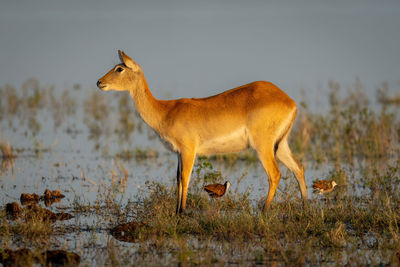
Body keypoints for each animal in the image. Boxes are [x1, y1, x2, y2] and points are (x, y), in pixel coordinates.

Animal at [97, 50, 310, 215]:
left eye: (119, 68)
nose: (99, 82)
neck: (165, 111)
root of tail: (289, 101)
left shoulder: (188, 150)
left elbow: (185, 178)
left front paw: (182, 212)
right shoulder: (179, 153)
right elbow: (178, 179)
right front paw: (176, 212)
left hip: (262, 146)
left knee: (275, 173)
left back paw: (264, 213)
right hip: (280, 145)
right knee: (298, 167)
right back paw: (305, 210)